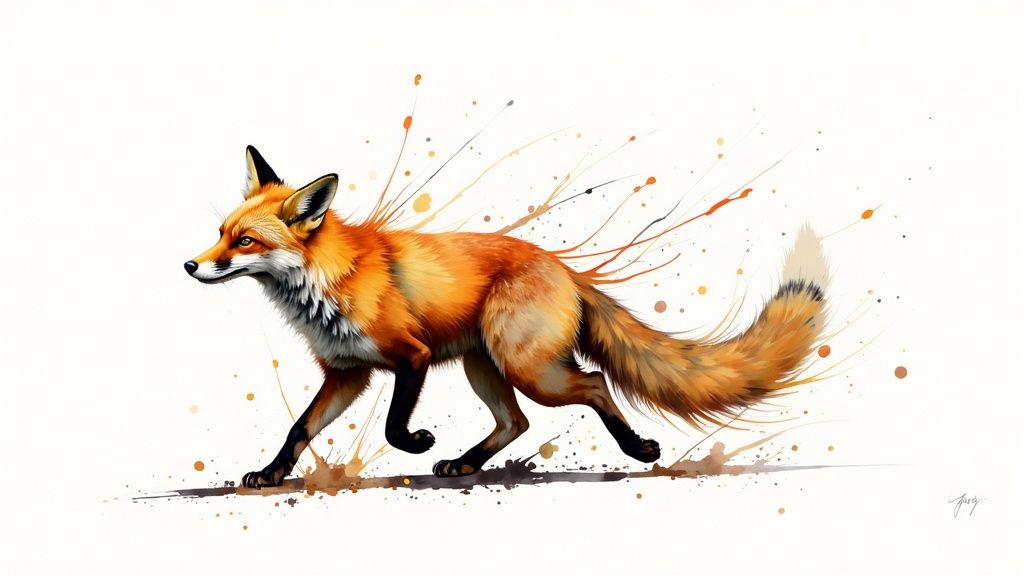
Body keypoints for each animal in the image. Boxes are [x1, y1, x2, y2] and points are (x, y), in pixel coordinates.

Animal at [185, 146, 829, 489]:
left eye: (244, 241)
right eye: (220, 233)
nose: (190, 264)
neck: (330, 280)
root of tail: (563, 267)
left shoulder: (411, 357)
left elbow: (393, 426)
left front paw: (417, 441)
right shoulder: (347, 372)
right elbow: (298, 428)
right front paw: (271, 473)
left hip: (527, 368)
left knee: (594, 384)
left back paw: (639, 450)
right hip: (485, 367)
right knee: (515, 422)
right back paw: (466, 463)